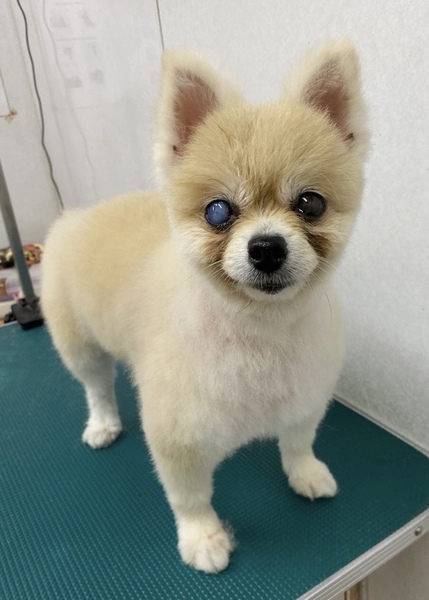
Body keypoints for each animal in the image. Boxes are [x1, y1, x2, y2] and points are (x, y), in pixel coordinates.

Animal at [41, 39, 369, 574]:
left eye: (311, 203)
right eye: (219, 211)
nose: (266, 248)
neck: (259, 333)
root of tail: (81, 215)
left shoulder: (305, 398)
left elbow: (298, 442)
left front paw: (306, 473)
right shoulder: (179, 439)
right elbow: (190, 497)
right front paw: (203, 539)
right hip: (78, 342)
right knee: (96, 386)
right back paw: (103, 423)